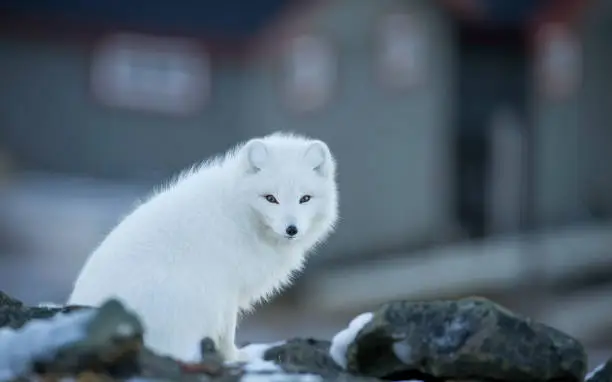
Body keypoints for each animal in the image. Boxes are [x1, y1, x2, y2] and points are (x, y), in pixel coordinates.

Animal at [70, 133, 344, 362]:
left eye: (305, 198)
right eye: (270, 198)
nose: (291, 229)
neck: (240, 213)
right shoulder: (226, 287)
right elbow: (227, 331)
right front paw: (234, 357)